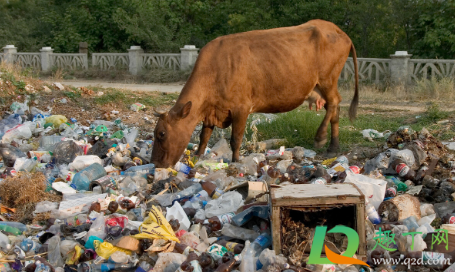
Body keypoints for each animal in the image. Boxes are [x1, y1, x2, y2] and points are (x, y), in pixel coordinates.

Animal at [151, 19, 358, 168]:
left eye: (161, 133)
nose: (155, 163)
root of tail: (337, 29)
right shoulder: (211, 110)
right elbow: (204, 136)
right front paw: (198, 156)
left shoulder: (241, 108)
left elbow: (236, 138)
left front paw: (235, 161)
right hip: (322, 85)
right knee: (335, 109)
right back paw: (333, 147)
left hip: (328, 79)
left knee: (334, 103)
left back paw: (321, 137)